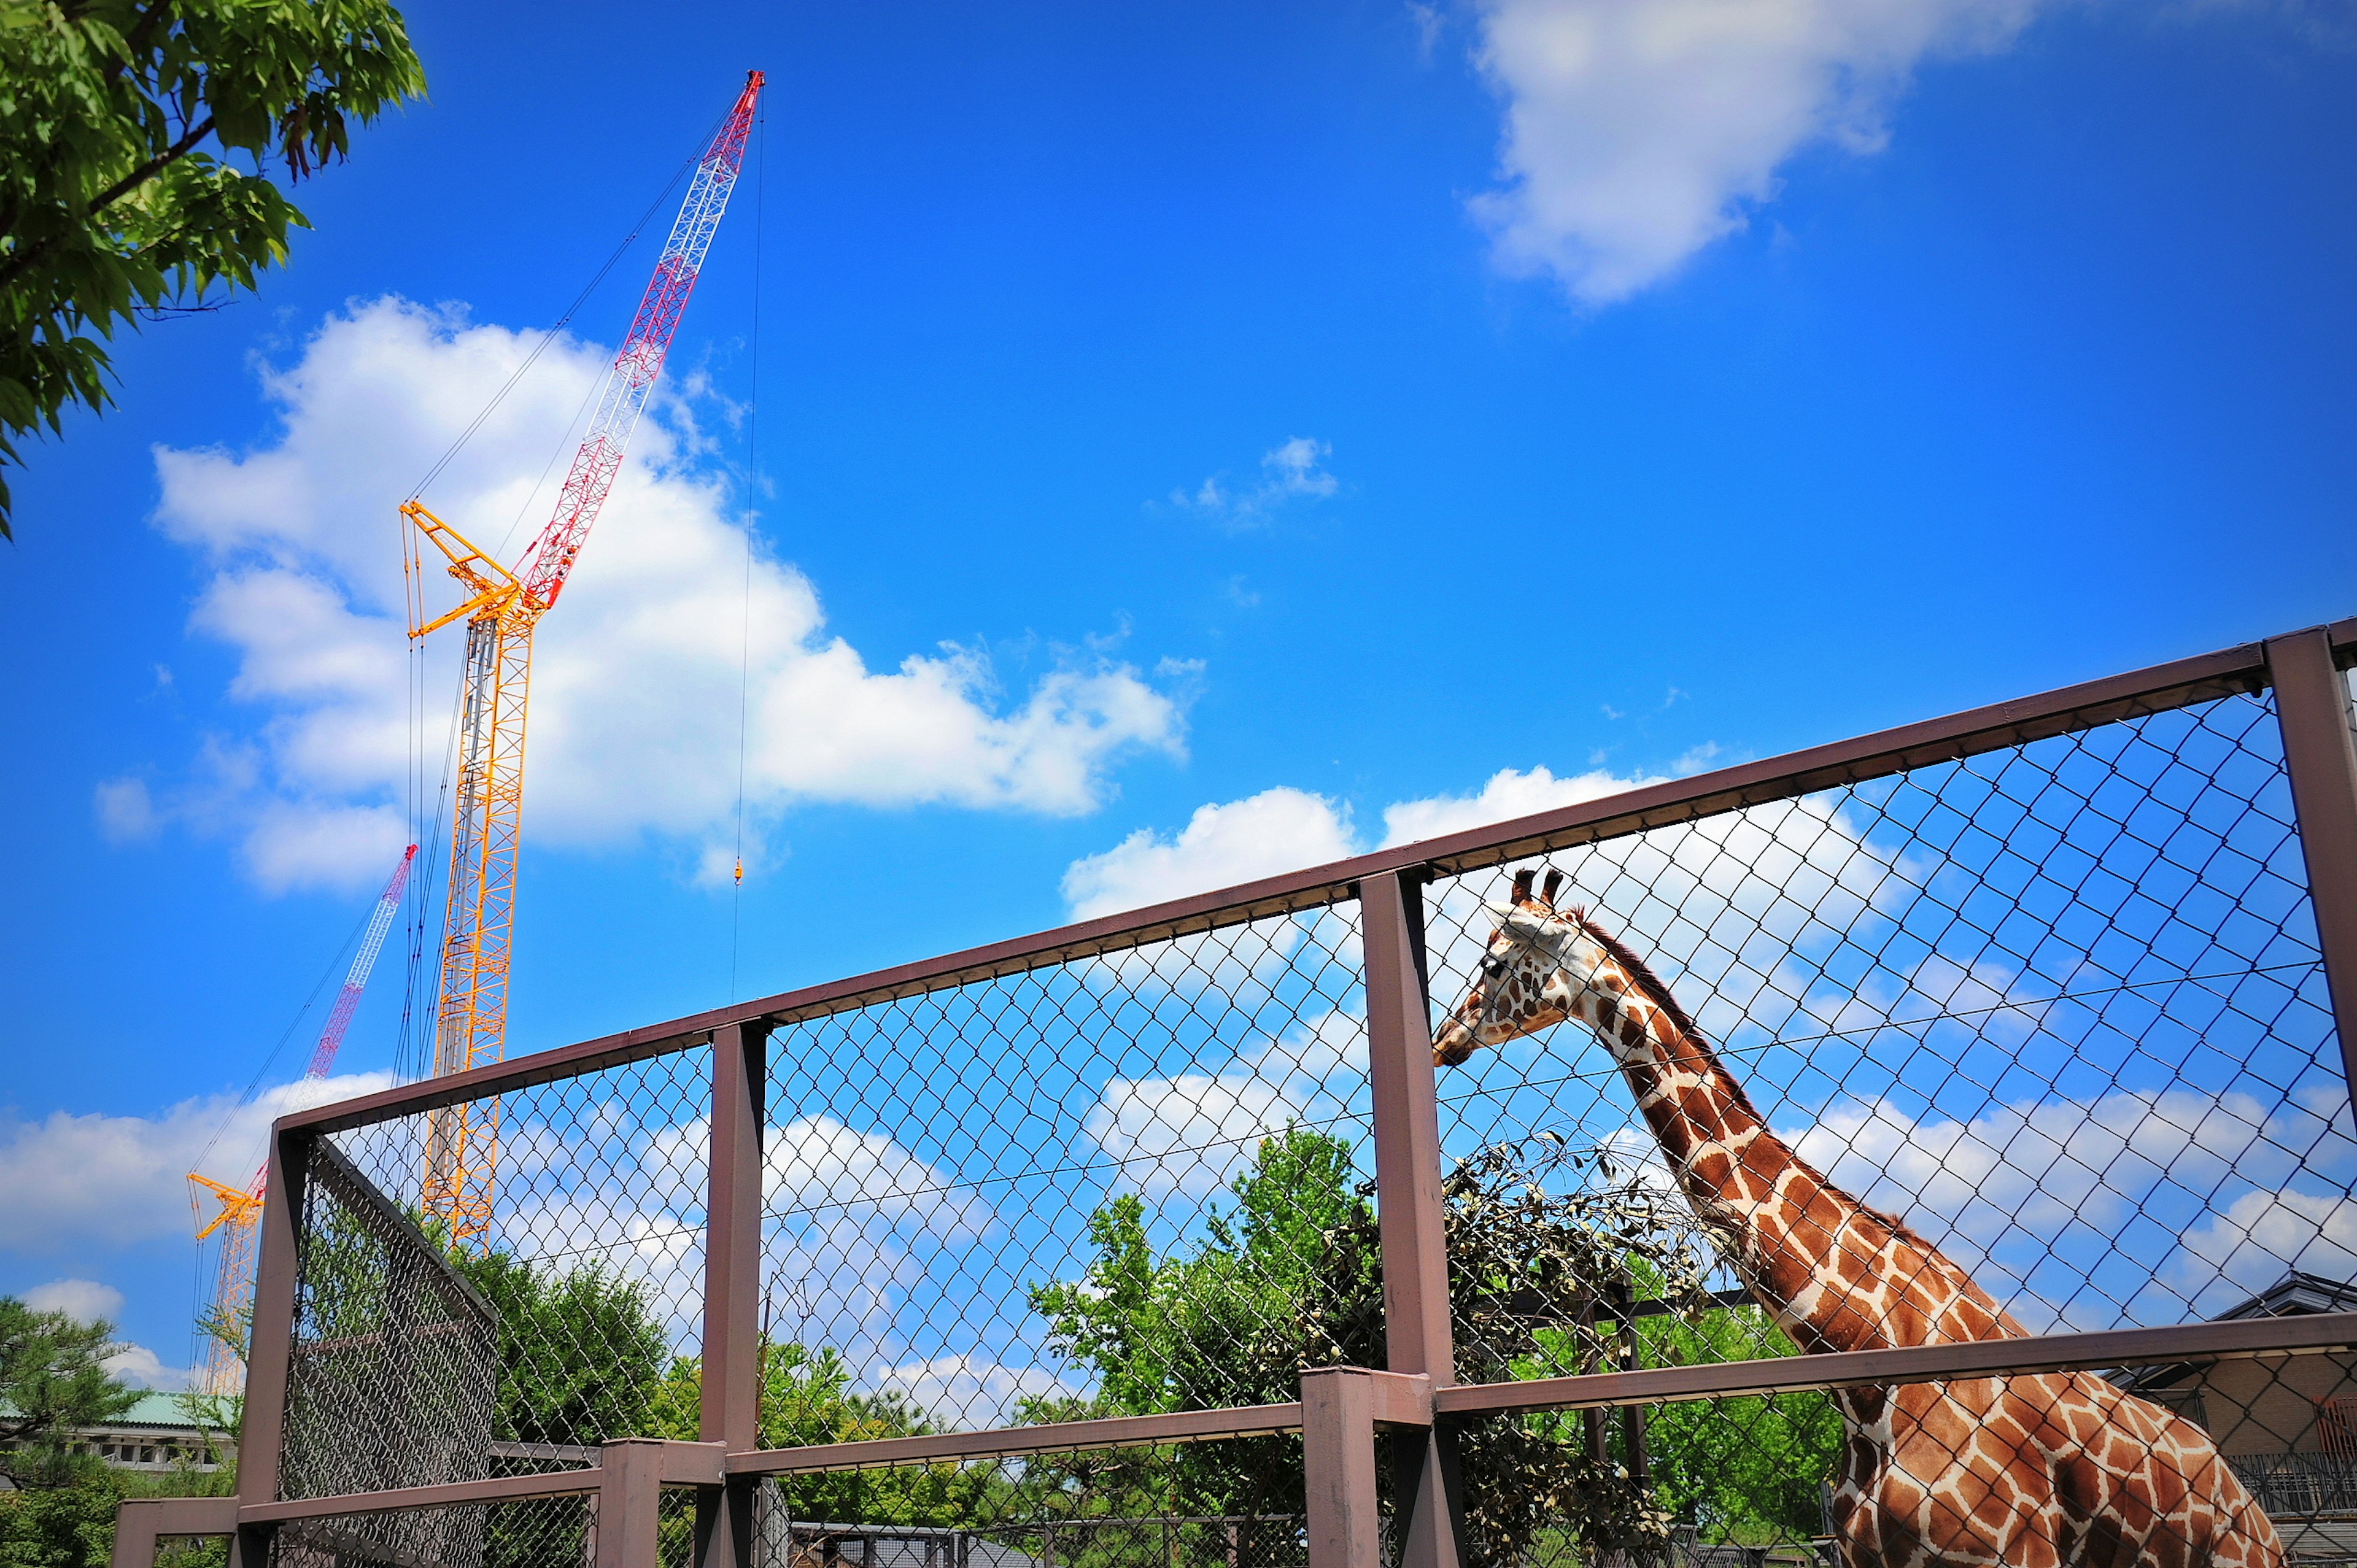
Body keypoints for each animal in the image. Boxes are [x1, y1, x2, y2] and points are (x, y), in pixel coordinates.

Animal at [1423, 867, 2291, 1566]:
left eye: (1492, 962)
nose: (1443, 1039)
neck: (1866, 1372)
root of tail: (2250, 1505)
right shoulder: (1868, 1554)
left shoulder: (2011, 1552)